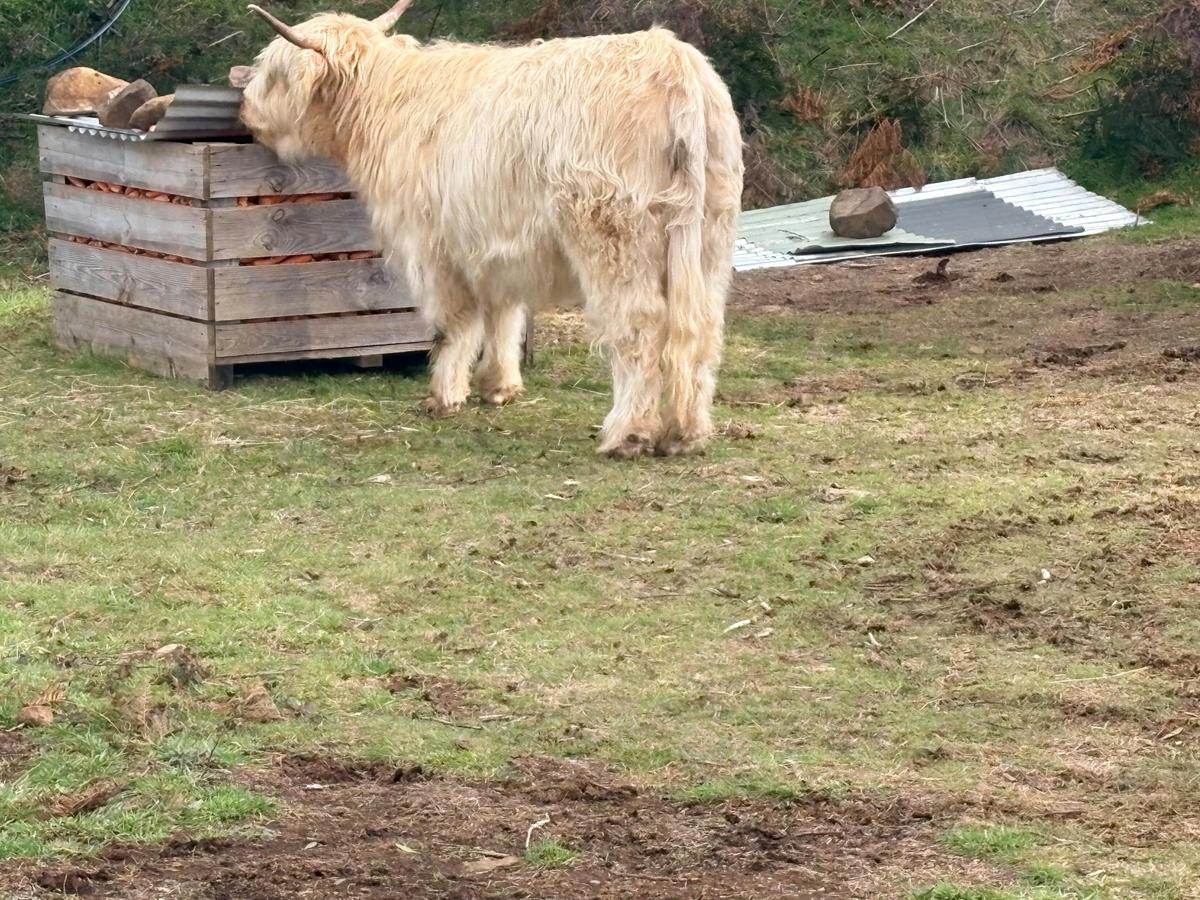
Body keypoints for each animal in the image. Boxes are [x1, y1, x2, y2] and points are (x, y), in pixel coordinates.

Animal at [240, 1, 743, 458]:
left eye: (274, 71)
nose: (244, 108)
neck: (384, 105)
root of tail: (671, 59)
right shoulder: (495, 245)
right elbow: (504, 313)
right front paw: (499, 386)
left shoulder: (431, 244)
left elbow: (453, 323)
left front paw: (444, 395)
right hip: (710, 233)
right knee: (699, 326)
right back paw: (685, 434)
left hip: (613, 233)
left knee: (640, 324)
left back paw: (628, 434)